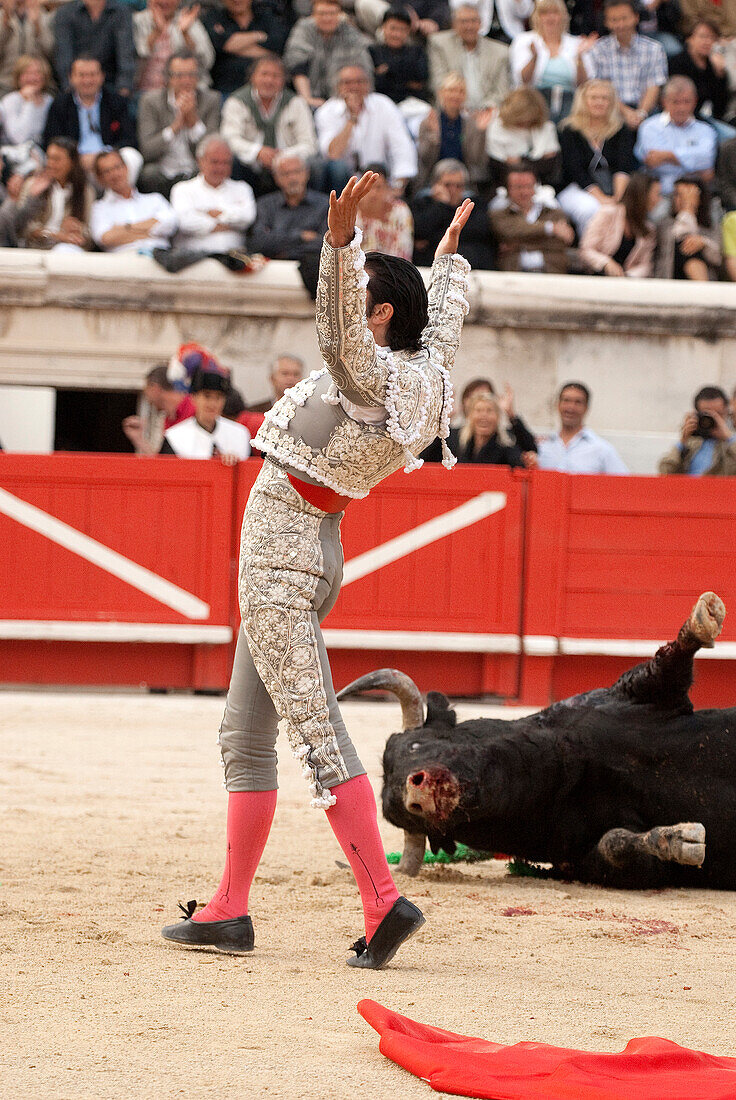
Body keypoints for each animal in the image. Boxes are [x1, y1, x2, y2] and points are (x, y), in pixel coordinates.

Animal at [336, 589, 734, 888]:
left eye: (416, 744)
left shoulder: (640, 696)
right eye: (406, 816)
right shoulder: (585, 860)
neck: (563, 776)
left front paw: (706, 616)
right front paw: (680, 839)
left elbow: (667, 661)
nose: (415, 792)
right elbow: (616, 844)